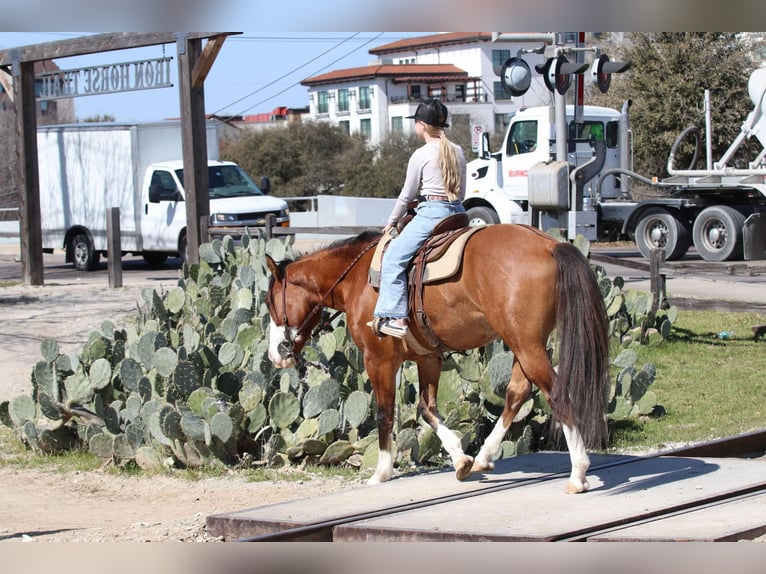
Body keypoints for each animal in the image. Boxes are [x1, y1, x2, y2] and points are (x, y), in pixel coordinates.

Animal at [264, 224, 610, 493]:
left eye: (269, 301)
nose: (276, 354)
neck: (358, 279)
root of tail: (551, 245)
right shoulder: (428, 358)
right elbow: (427, 409)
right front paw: (460, 458)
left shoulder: (377, 359)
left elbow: (384, 412)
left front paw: (381, 472)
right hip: (525, 346)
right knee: (517, 393)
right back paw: (483, 458)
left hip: (527, 346)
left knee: (557, 394)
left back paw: (578, 473)